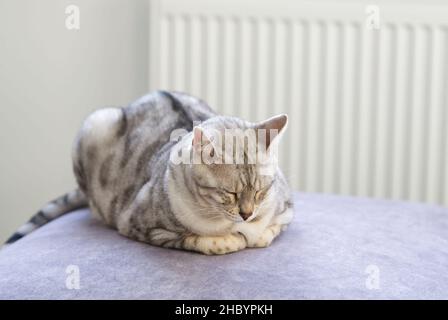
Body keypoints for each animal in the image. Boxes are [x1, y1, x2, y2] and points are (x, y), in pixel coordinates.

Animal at [7, 90, 296, 255]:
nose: (247, 215)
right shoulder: (142, 224)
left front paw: (257, 234)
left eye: (261, 191)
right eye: (229, 193)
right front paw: (231, 241)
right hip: (94, 125)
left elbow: (270, 231)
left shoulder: (287, 209)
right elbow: (201, 240)